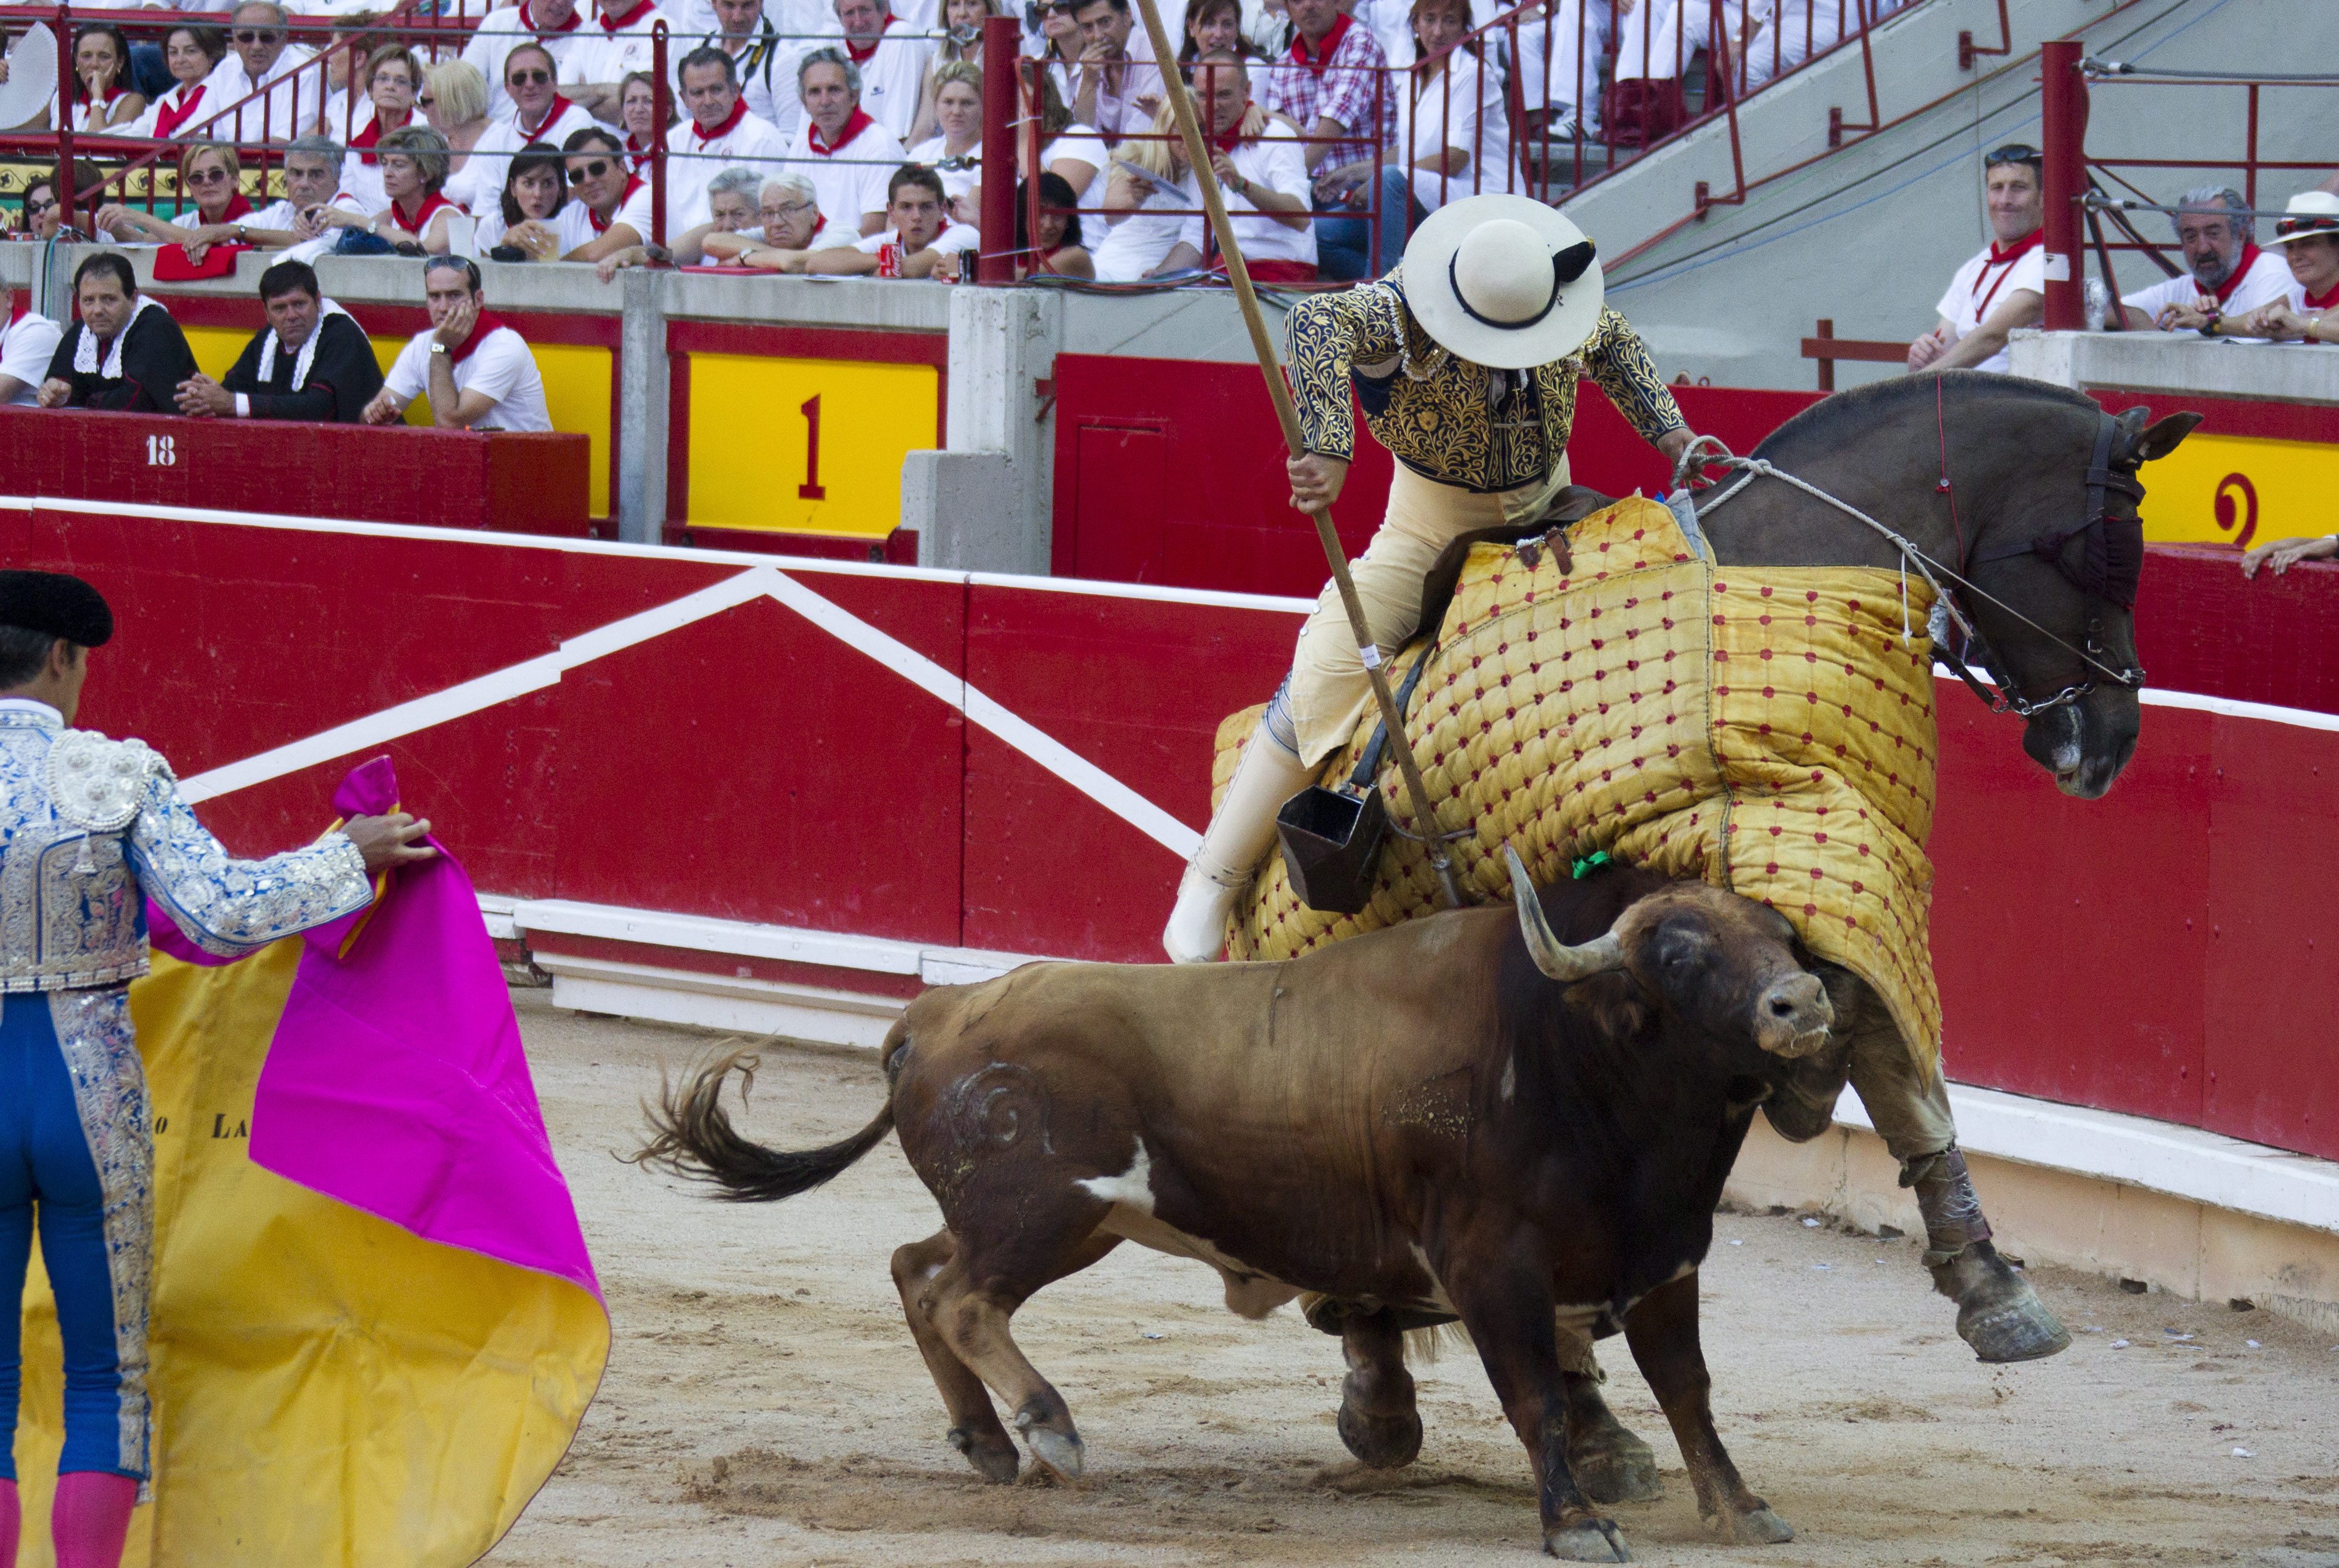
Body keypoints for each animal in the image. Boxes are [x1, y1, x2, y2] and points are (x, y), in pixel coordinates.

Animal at [641, 852, 1843, 1563]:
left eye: (1778, 937)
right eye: (1678, 951)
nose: (1801, 1001)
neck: (1572, 1053)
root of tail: (935, 1012)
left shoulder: (1665, 1264)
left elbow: (1689, 1394)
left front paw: (1741, 1510)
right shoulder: (1490, 1266)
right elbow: (1536, 1394)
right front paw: (1577, 1523)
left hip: (1046, 1219)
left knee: (914, 1267)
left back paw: (985, 1441)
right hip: (1048, 1211)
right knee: (962, 1301)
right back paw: (1048, 1425)